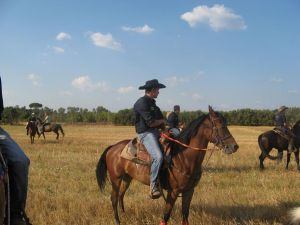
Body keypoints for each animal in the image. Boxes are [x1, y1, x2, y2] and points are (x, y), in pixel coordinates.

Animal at [96, 106, 239, 224]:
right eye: (220, 125)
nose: (234, 146)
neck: (184, 157)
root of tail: (112, 147)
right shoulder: (173, 191)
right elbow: (166, 216)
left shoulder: (189, 190)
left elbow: (185, 215)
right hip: (116, 179)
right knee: (114, 198)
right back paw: (117, 220)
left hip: (127, 178)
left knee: (121, 195)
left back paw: (124, 215)